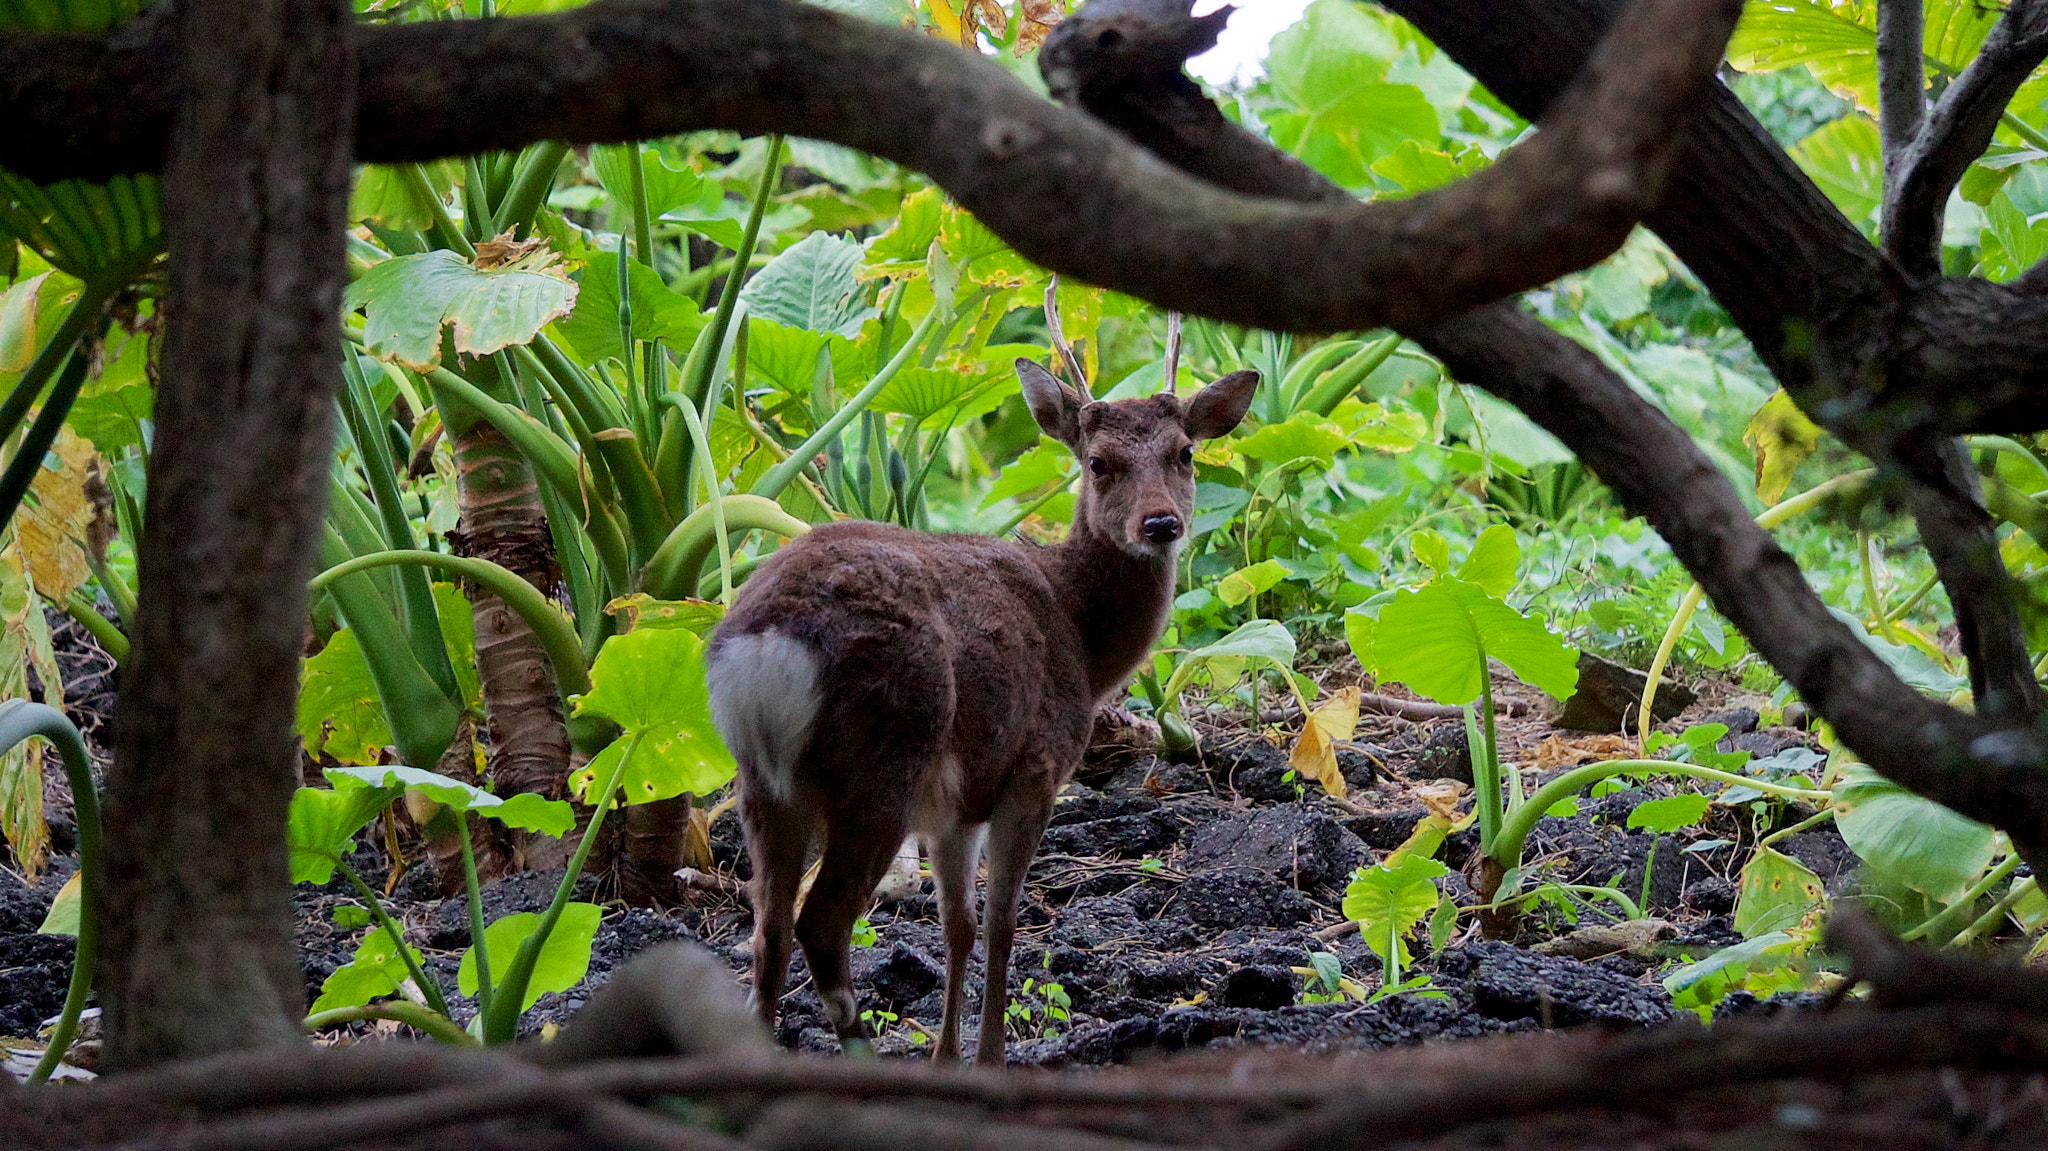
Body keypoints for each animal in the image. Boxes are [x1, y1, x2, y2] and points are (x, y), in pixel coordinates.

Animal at [706, 299, 1254, 1065]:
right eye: (1098, 462)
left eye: (1185, 452)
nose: (1161, 523)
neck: (1083, 640)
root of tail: (766, 642)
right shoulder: (1034, 767)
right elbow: (1002, 922)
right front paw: (990, 1055)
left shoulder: (957, 804)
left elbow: (957, 926)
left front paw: (946, 1055)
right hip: (883, 761)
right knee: (821, 923)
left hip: (763, 781)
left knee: (768, 932)